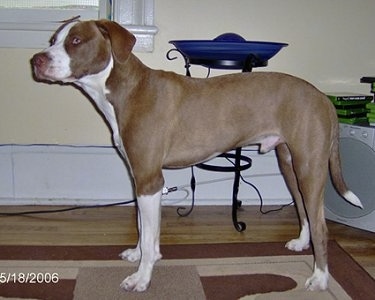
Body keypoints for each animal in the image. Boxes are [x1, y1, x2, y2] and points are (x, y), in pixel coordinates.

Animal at [32, 18, 364, 290]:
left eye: (76, 40)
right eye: (53, 39)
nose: (36, 60)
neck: (126, 88)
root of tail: (322, 97)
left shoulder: (150, 180)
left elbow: (149, 236)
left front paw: (141, 277)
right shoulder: (139, 178)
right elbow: (142, 227)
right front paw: (138, 254)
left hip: (309, 165)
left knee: (321, 225)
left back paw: (320, 279)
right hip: (289, 163)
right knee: (305, 211)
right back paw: (301, 243)